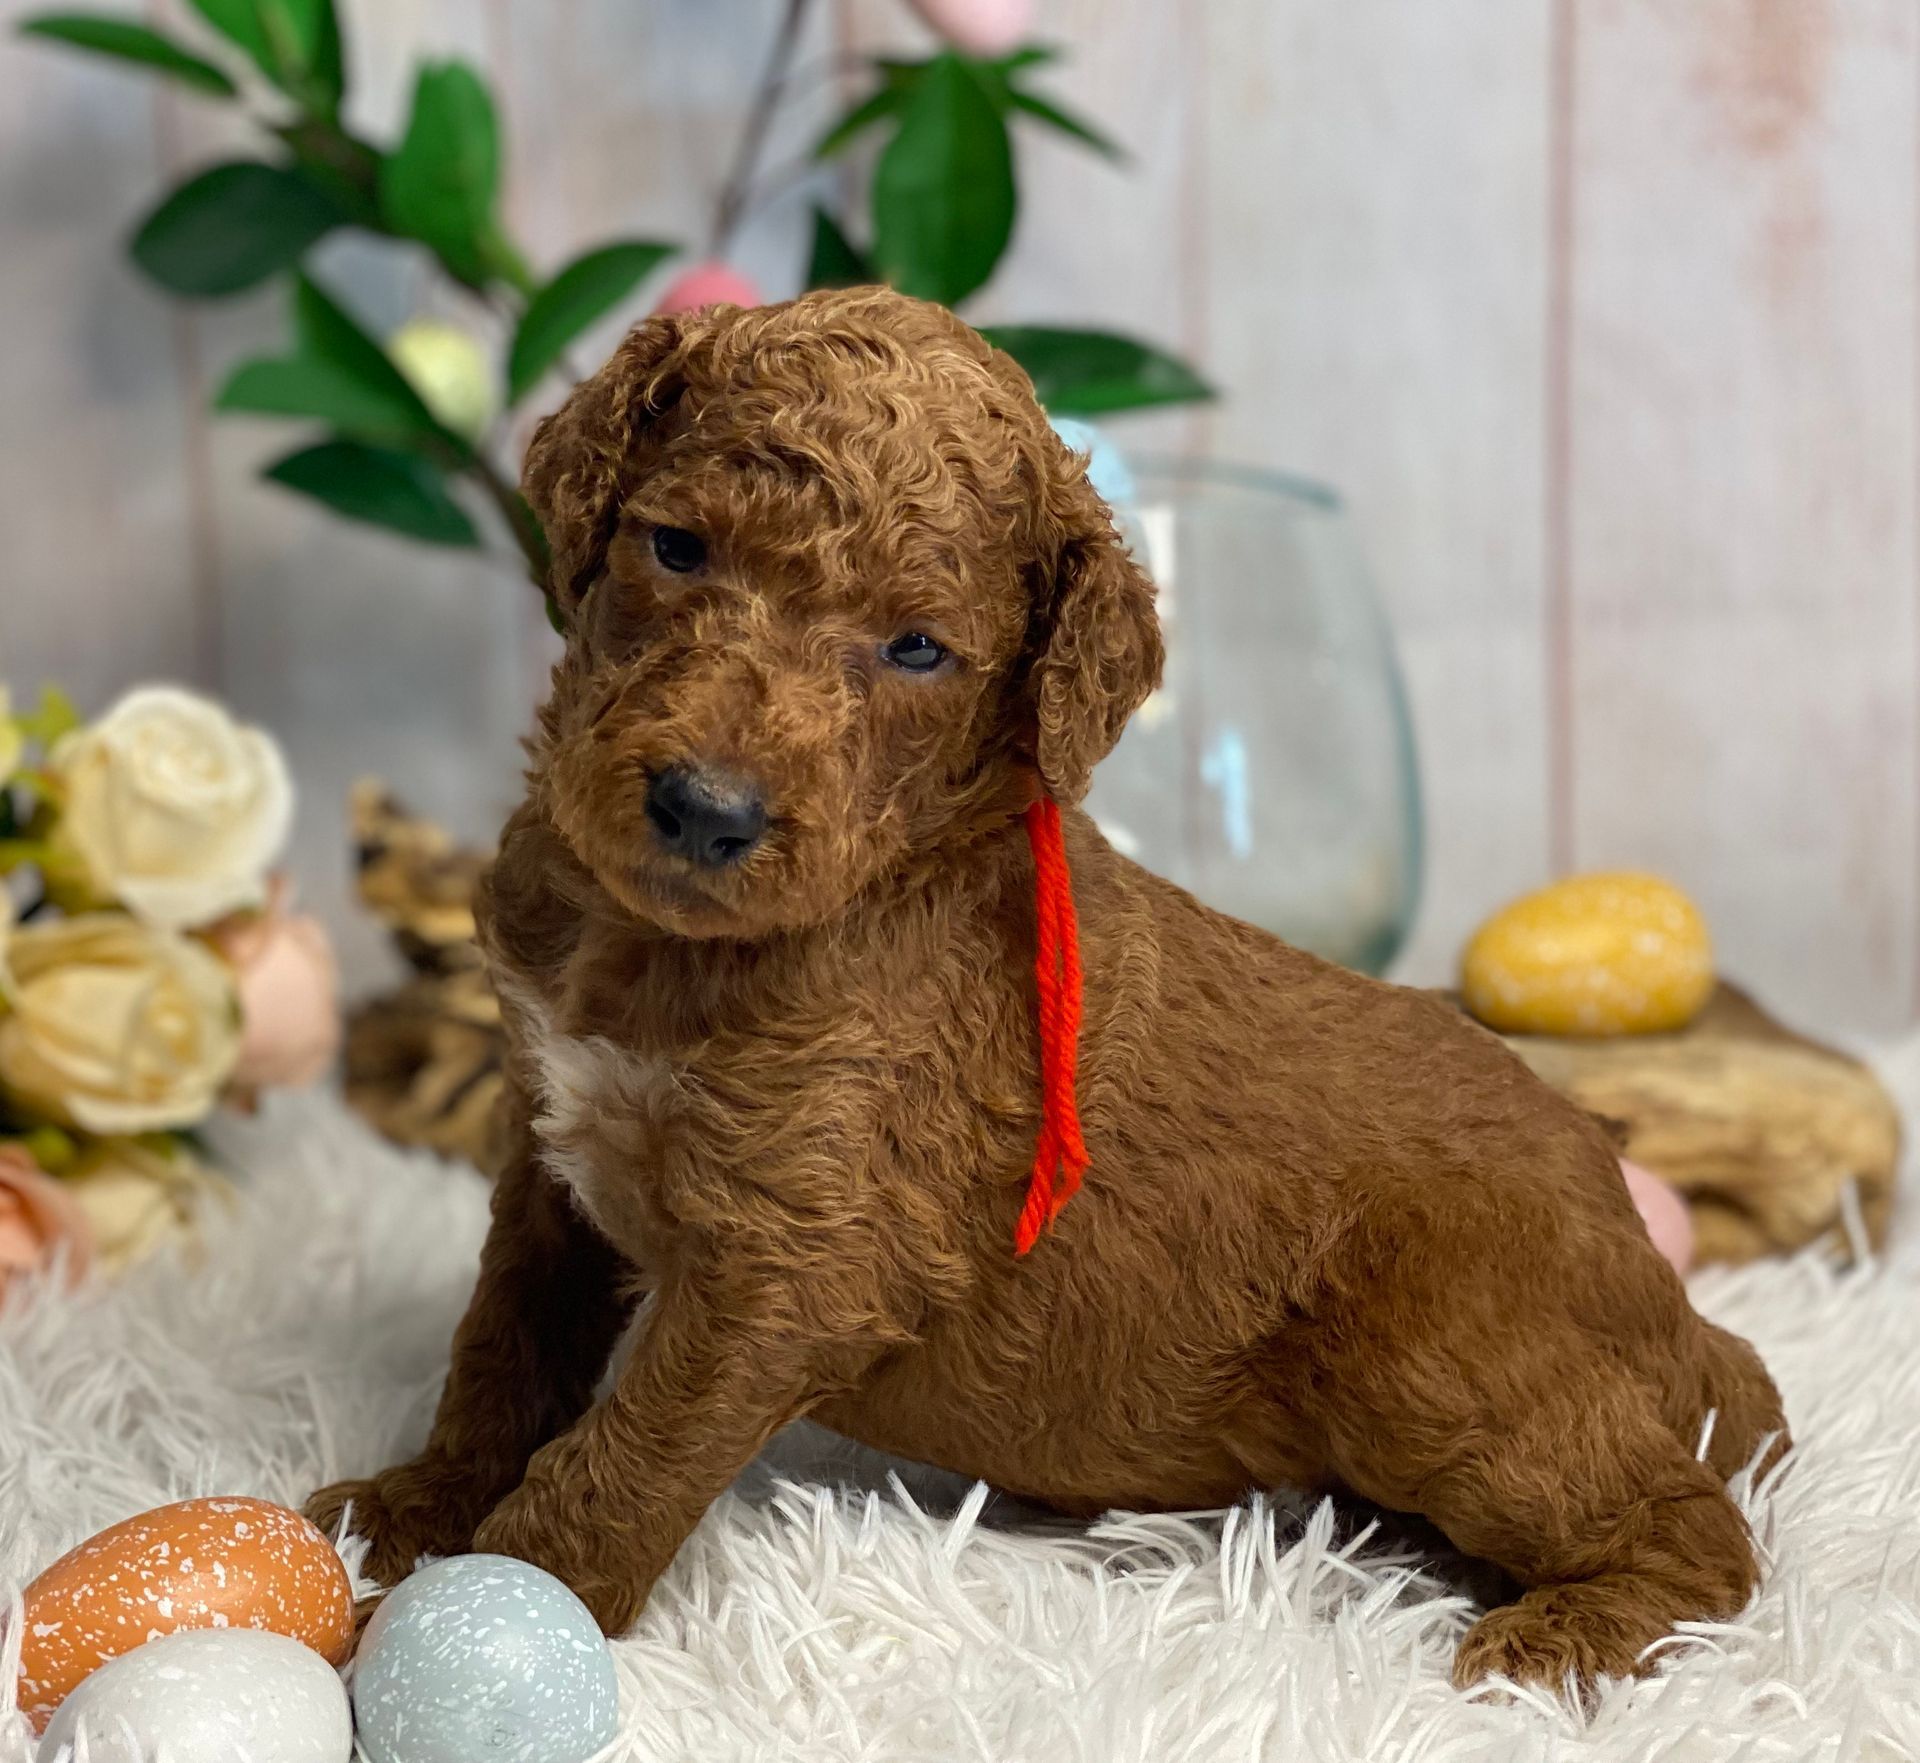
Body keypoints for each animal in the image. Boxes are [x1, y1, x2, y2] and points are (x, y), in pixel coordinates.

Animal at [307, 289, 1789, 1697]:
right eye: (675, 548)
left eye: (916, 648)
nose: (704, 809)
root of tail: (1666, 1293)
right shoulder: (549, 1154)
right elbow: (504, 1347)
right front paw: (409, 1510)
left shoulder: (798, 1260)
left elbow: (619, 1456)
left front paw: (464, 1616)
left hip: (1441, 1352)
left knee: (1702, 1529)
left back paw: (1558, 1644)